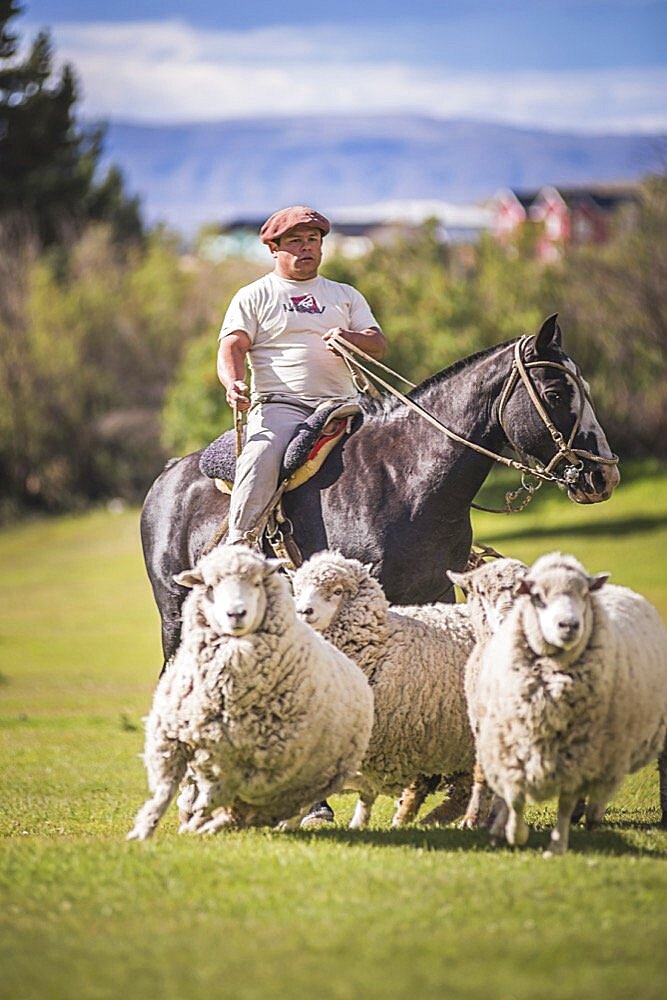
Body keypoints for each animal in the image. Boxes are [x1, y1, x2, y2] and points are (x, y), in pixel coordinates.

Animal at [126, 544, 376, 840]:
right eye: (210, 586)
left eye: (257, 583)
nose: (236, 614)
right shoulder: (170, 739)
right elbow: (164, 791)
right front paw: (142, 831)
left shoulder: (249, 771)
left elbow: (213, 799)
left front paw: (195, 823)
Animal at [142, 316, 620, 668]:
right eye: (555, 393)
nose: (604, 476)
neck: (405, 479)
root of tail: (169, 475)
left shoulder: (434, 593)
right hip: (173, 614)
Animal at [470, 552, 667, 856]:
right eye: (537, 595)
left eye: (584, 594)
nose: (568, 625)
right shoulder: (511, 747)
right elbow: (514, 797)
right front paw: (511, 833)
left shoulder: (579, 755)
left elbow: (564, 803)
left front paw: (556, 845)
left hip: (609, 747)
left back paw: (592, 815)